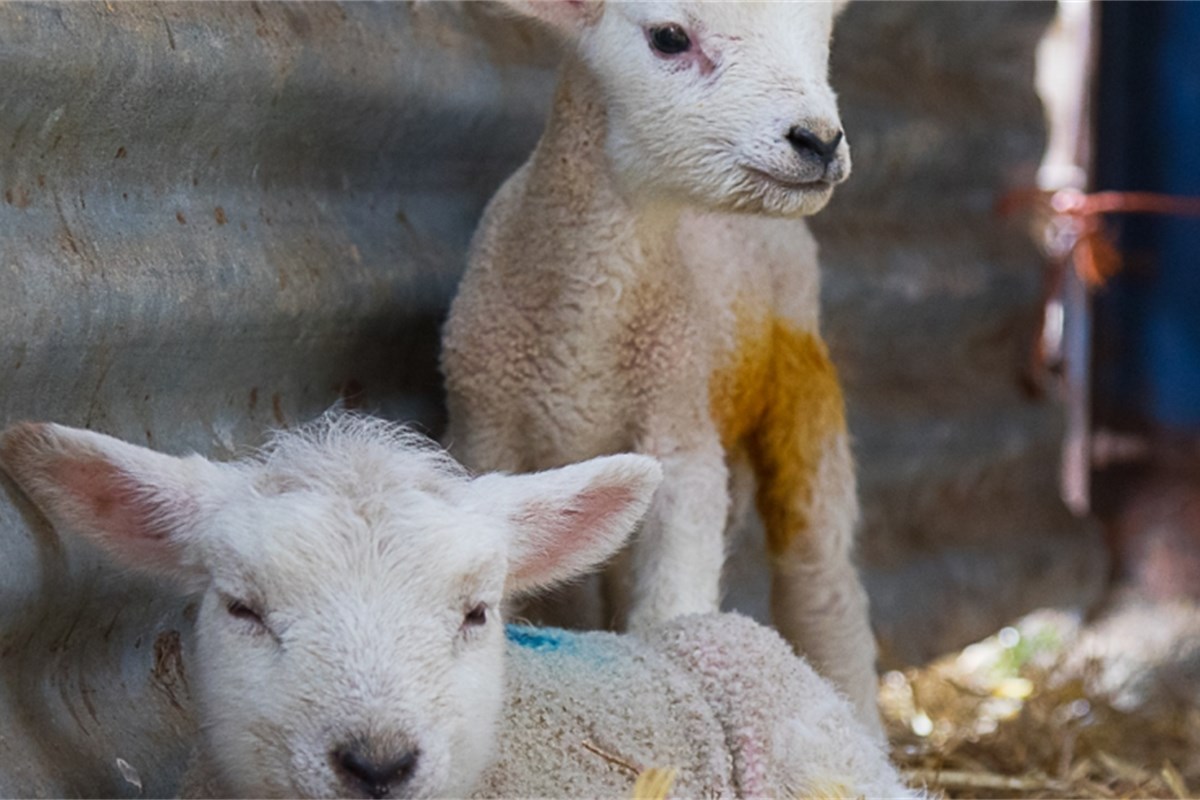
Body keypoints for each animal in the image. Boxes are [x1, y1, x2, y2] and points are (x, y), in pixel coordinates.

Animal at [440, 0, 882, 735]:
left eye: (821, 33)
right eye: (670, 38)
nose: (819, 141)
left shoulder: (681, 436)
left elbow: (674, 605)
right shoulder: (487, 431)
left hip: (800, 386)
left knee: (821, 582)